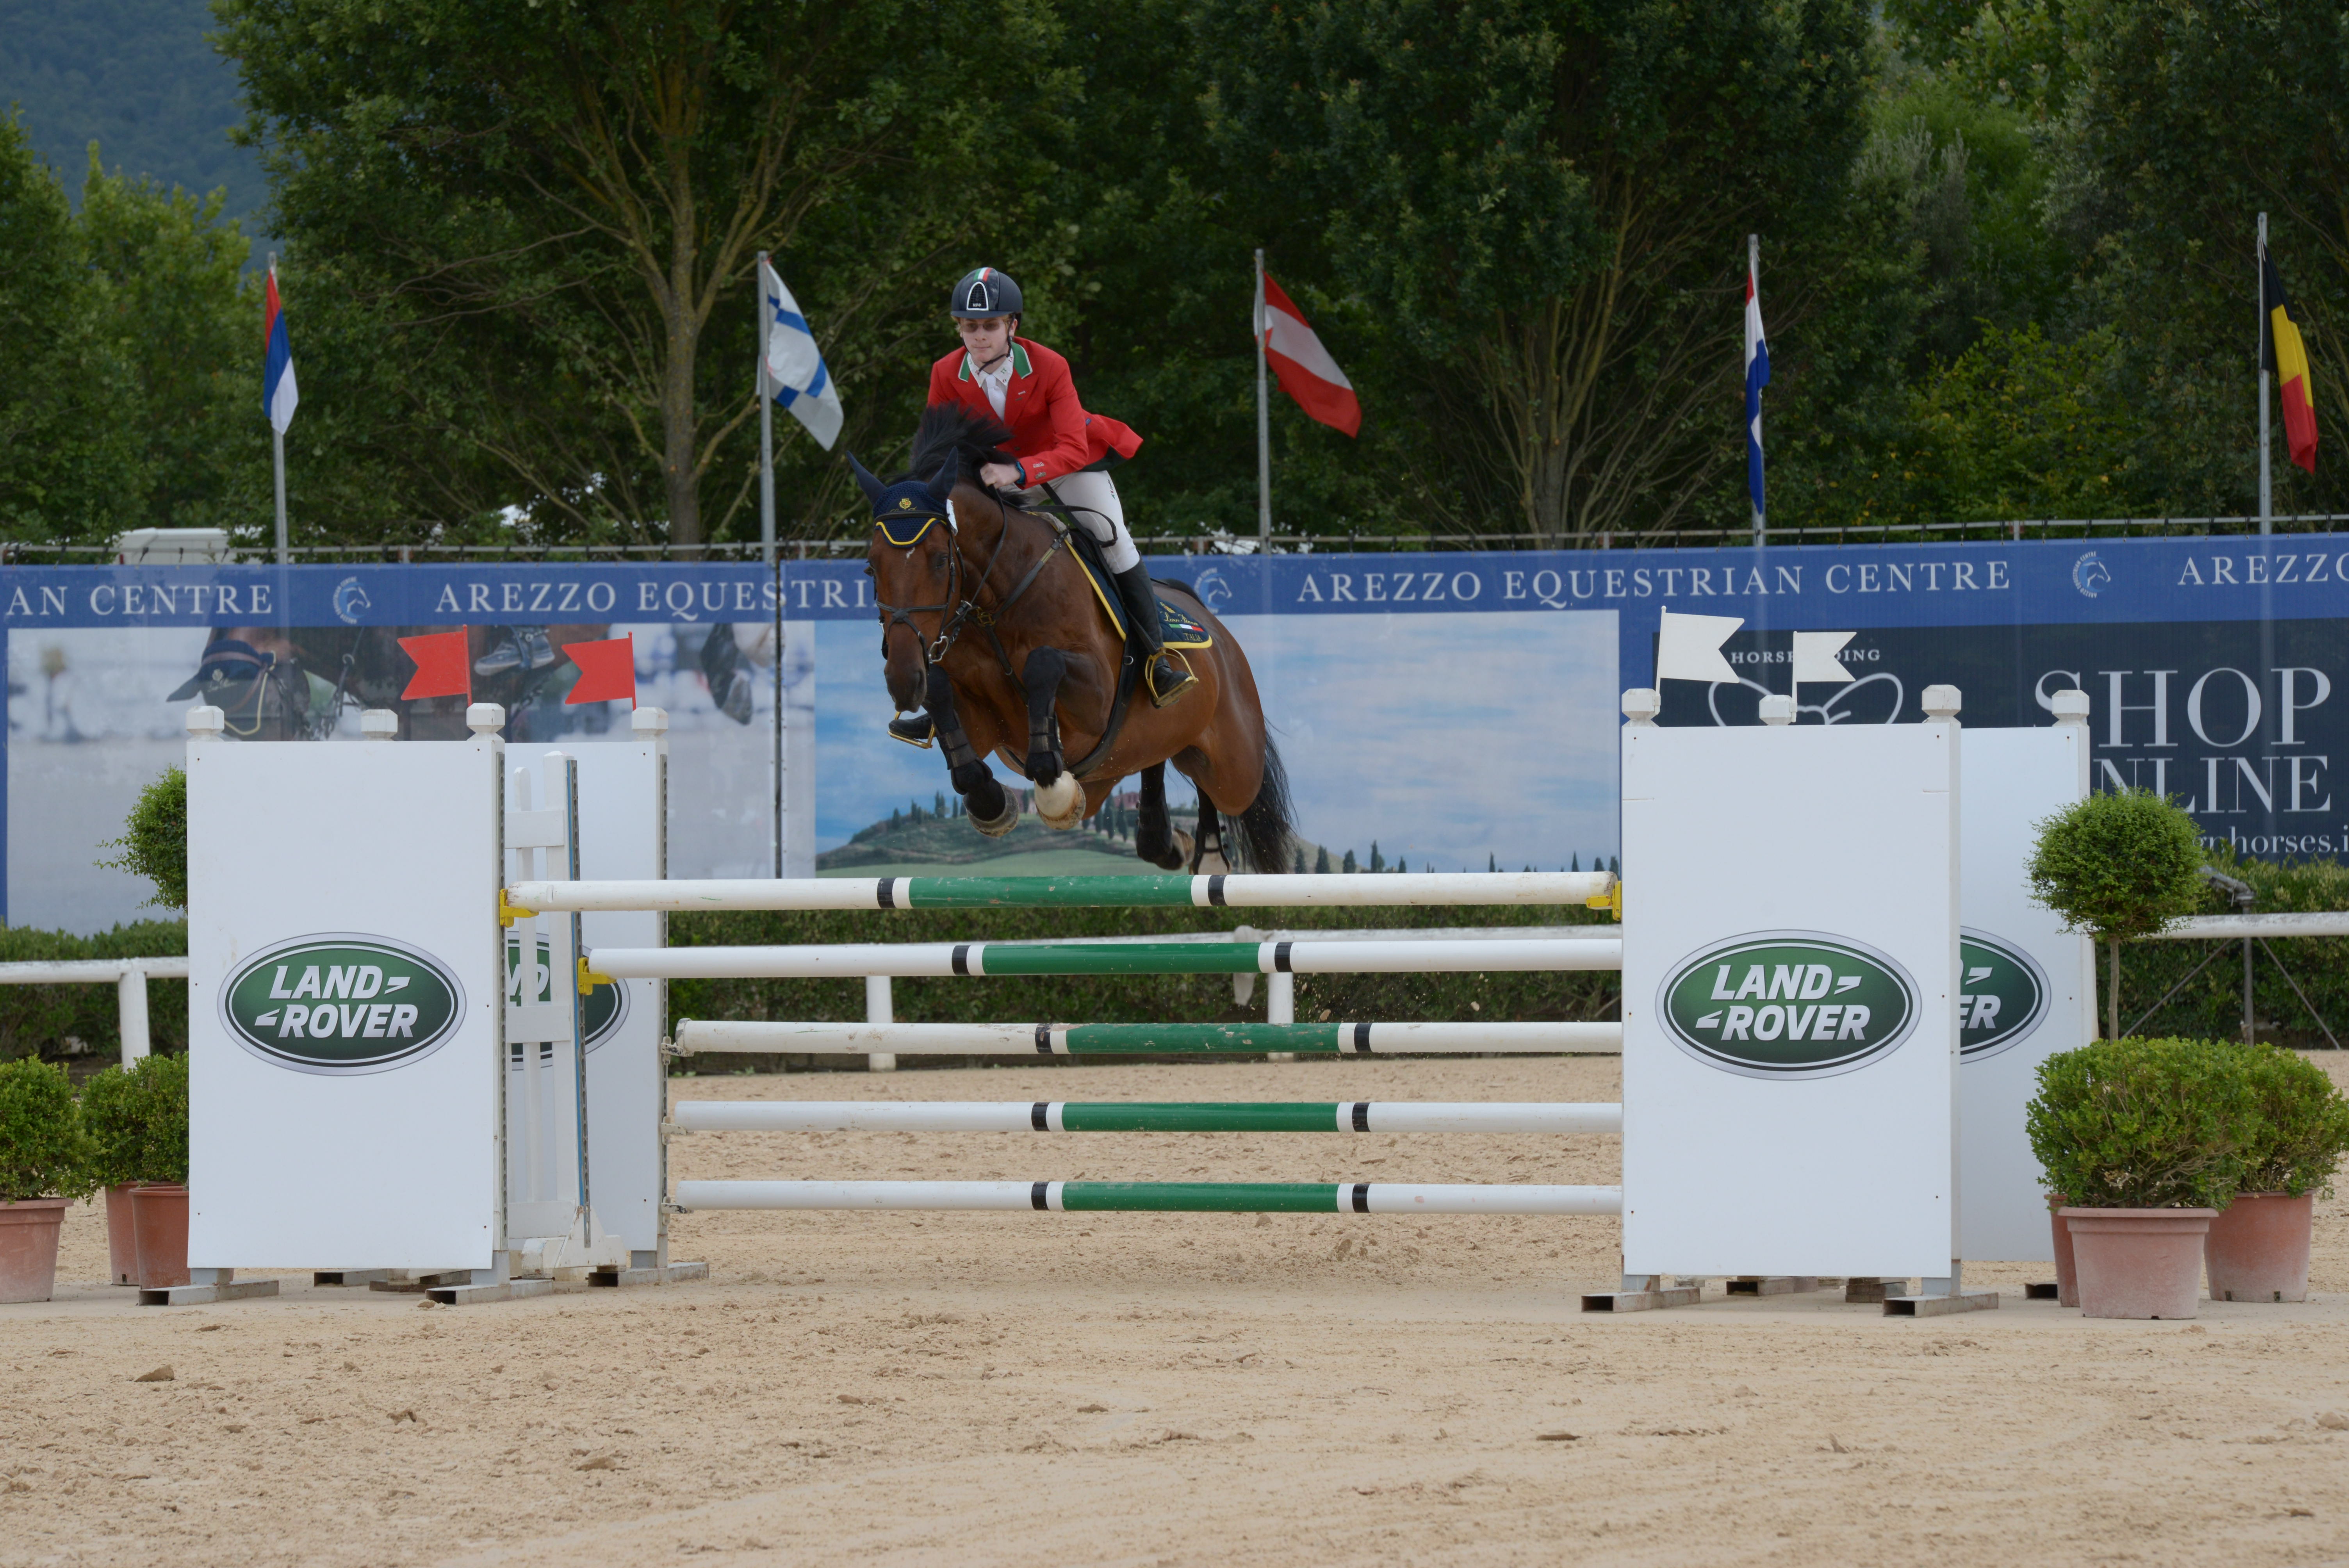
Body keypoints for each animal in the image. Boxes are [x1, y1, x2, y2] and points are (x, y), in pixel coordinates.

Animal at [855, 408, 1296, 868]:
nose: (902, 679)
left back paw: (1208, 852)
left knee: (1226, 793)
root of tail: (1213, 624)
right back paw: (1161, 839)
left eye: (942, 560)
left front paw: (1050, 772)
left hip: (1235, 768)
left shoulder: (1096, 699)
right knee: (1158, 759)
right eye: (871, 567)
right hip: (1131, 761)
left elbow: (1043, 664)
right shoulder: (982, 723)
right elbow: (943, 696)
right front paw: (992, 802)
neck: (994, 604)